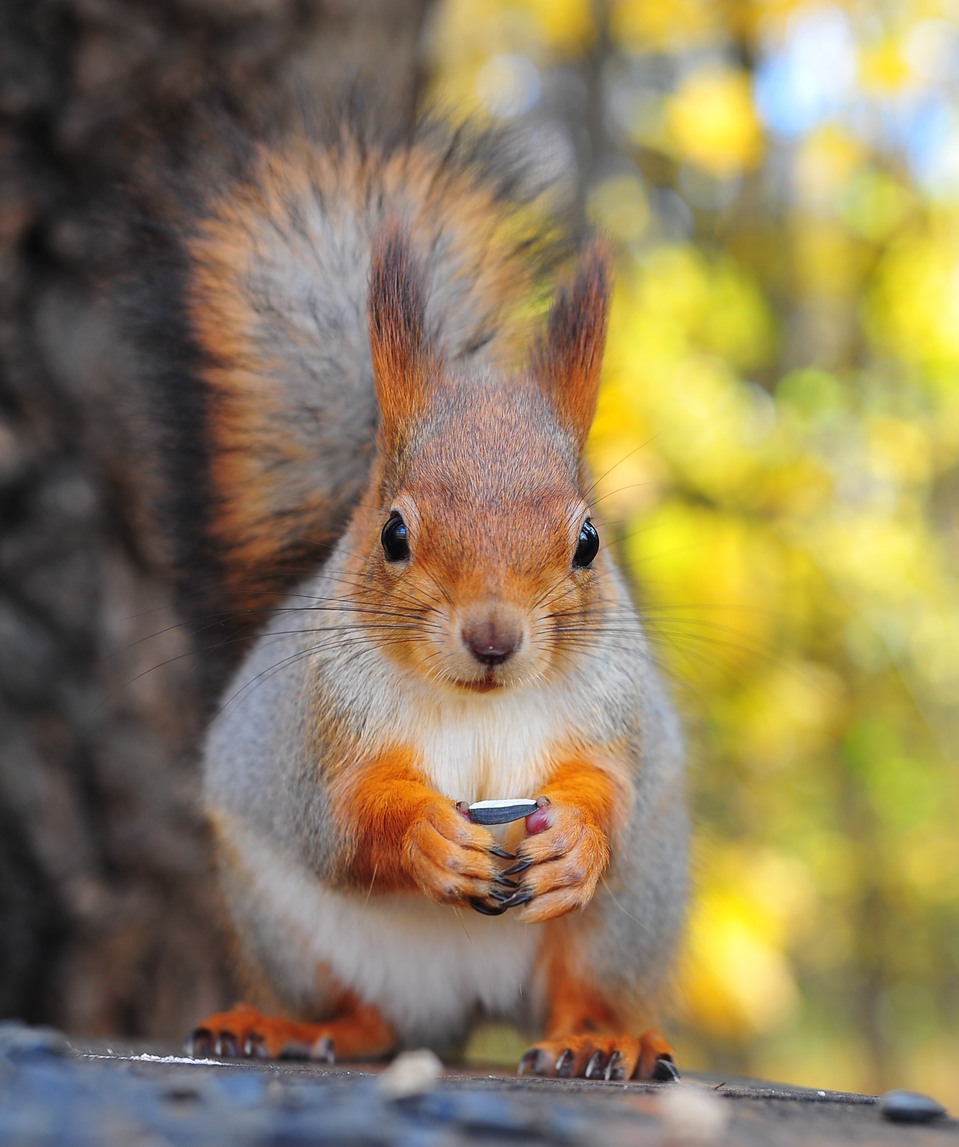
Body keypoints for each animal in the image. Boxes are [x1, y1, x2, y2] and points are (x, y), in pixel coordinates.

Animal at [133, 103, 688, 1078]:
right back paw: (289, 1026)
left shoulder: (612, 715)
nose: (493, 636)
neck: (477, 704)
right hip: (286, 924)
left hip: (629, 911)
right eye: (394, 533)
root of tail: (466, 1007)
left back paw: (598, 1037)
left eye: (587, 541)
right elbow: (339, 819)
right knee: (365, 1017)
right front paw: (425, 834)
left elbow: (610, 785)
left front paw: (577, 834)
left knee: (581, 986)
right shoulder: (315, 731)